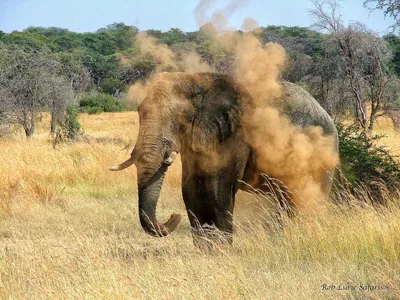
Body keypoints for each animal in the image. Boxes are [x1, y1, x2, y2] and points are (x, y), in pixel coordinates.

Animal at [110, 71, 338, 245]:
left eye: (181, 119)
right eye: (139, 112)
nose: (174, 216)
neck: (198, 82)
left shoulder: (234, 135)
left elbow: (218, 188)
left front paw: (221, 249)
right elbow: (191, 190)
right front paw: (206, 249)